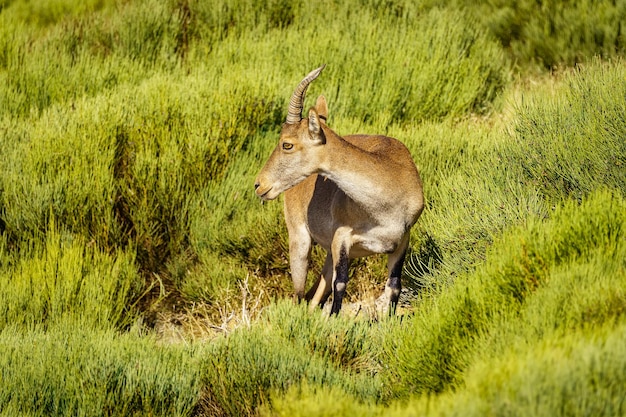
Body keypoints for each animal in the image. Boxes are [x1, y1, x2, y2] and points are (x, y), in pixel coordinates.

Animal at [254, 65, 424, 314]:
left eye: (287, 144)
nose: (260, 184)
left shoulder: (401, 240)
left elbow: (394, 286)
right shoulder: (342, 239)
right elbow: (340, 285)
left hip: (327, 254)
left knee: (315, 296)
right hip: (300, 241)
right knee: (300, 296)